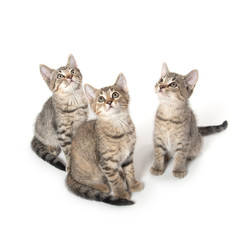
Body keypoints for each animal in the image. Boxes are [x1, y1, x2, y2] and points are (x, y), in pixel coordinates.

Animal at [65, 74, 142, 205]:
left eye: (115, 94)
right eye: (101, 99)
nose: (109, 102)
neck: (119, 126)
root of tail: (71, 171)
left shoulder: (129, 155)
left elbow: (130, 171)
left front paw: (133, 185)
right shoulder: (106, 162)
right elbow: (115, 180)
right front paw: (121, 194)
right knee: (83, 181)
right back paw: (101, 186)